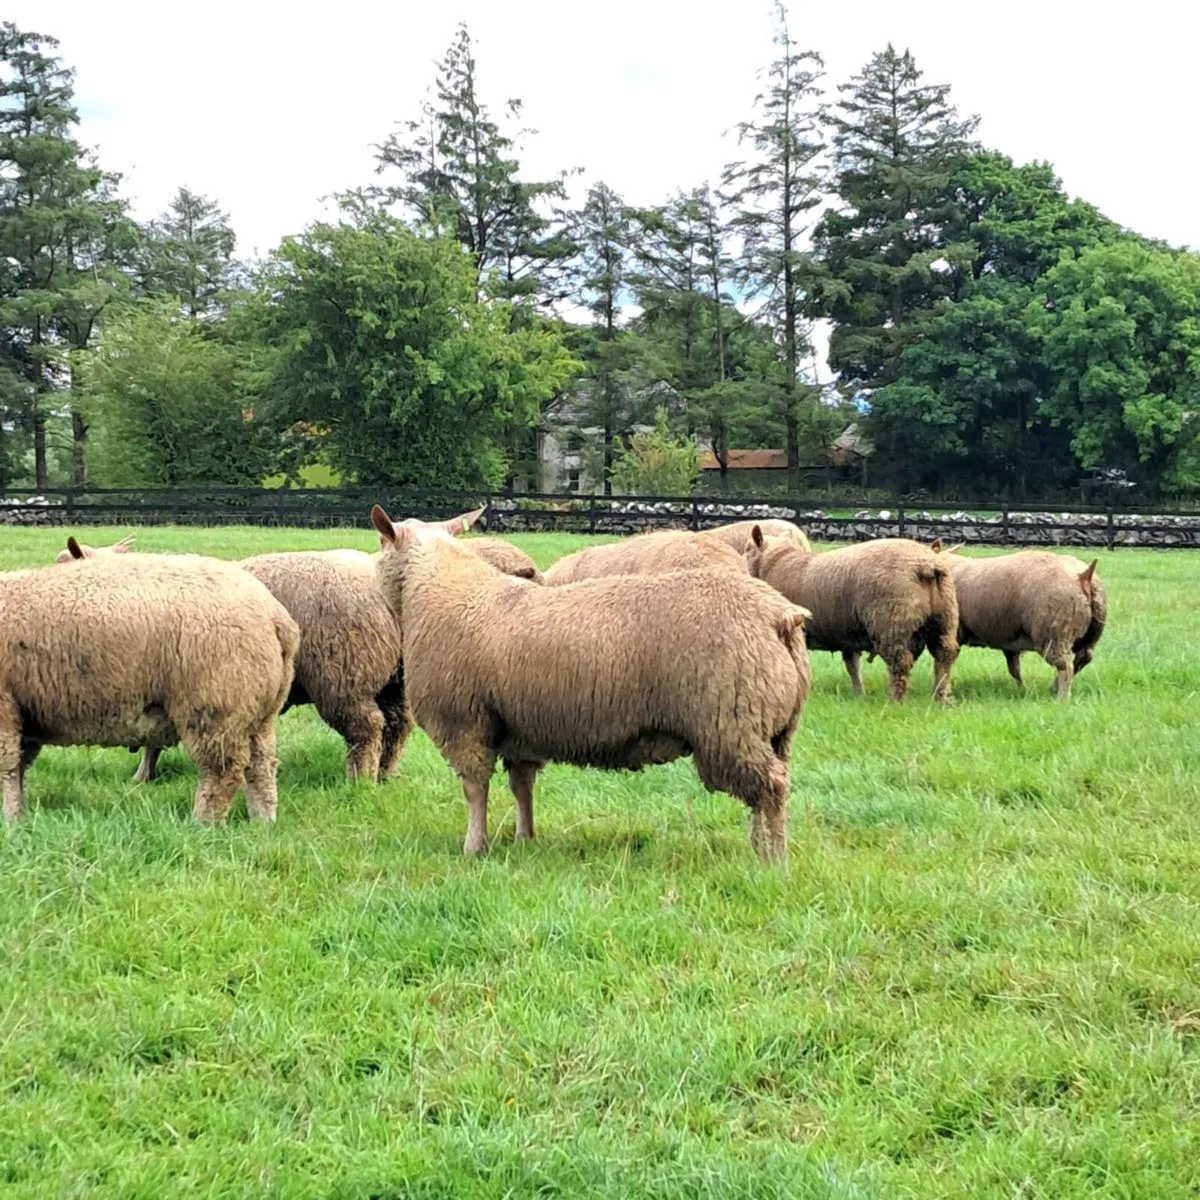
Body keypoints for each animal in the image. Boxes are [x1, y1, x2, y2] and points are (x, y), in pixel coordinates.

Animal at [0, 553, 298, 822]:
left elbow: (8, 769)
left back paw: (202, 825)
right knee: (261, 767)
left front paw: (11, 821)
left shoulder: (4, 708)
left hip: (215, 707)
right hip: (259, 715)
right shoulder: (23, 715)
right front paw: (19, 818)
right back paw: (263, 822)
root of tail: (275, 617)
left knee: (223, 771)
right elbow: (19, 768)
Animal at [744, 529, 959, 703]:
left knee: (900, 662)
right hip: (945, 620)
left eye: (747, 549)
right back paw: (942, 696)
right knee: (945, 655)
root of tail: (926, 564)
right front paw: (859, 693)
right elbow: (852, 665)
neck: (775, 563)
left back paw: (895, 699)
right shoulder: (847, 633)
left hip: (891, 622)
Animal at [939, 550, 1106, 699]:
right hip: (1090, 634)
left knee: (1066, 666)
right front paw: (1022, 690)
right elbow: (1014, 668)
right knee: (1083, 657)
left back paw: (1061, 698)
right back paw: (1053, 688)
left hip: (1053, 633)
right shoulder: (1009, 641)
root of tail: (1083, 576)